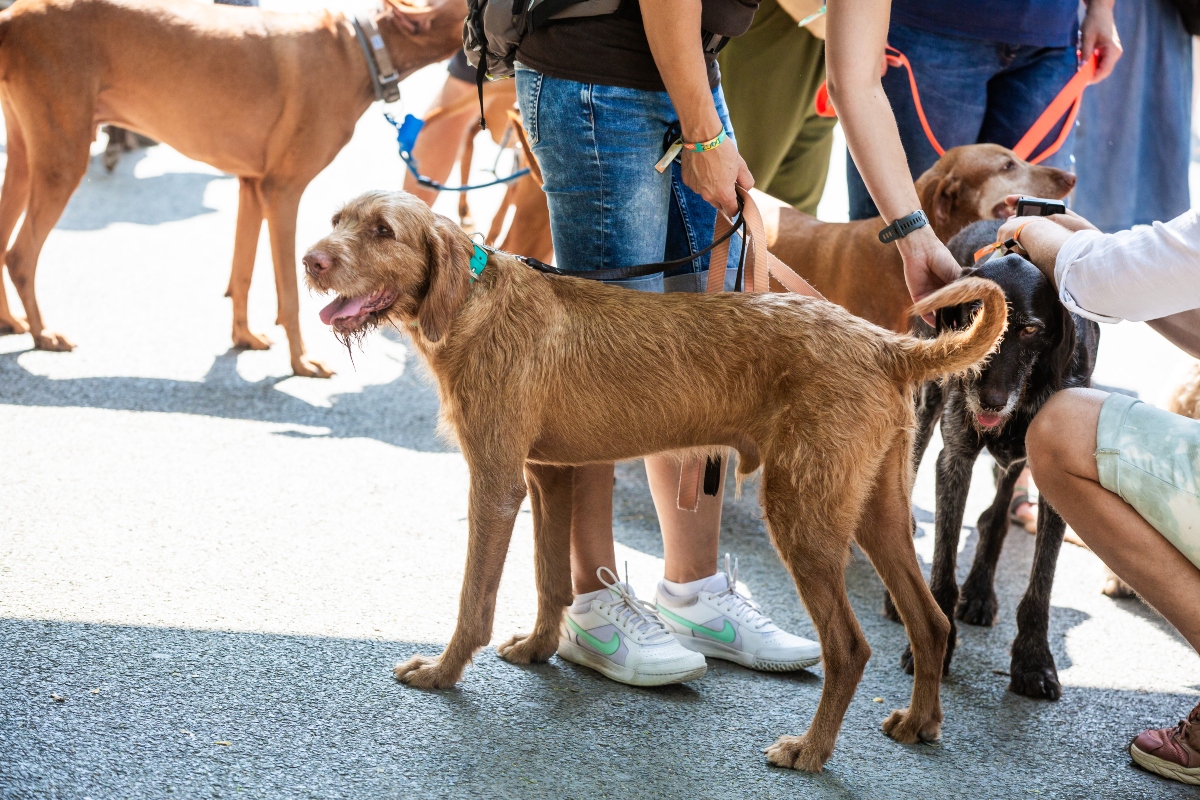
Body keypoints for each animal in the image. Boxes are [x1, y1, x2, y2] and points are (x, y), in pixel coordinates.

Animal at [0, 0, 463, 376]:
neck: (362, 47)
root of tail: (14, 16)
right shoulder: (282, 191)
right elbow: (289, 292)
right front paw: (300, 362)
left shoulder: (251, 186)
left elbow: (242, 271)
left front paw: (243, 337)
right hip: (61, 161)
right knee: (20, 255)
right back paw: (43, 334)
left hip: (23, 160)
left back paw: (11, 322)